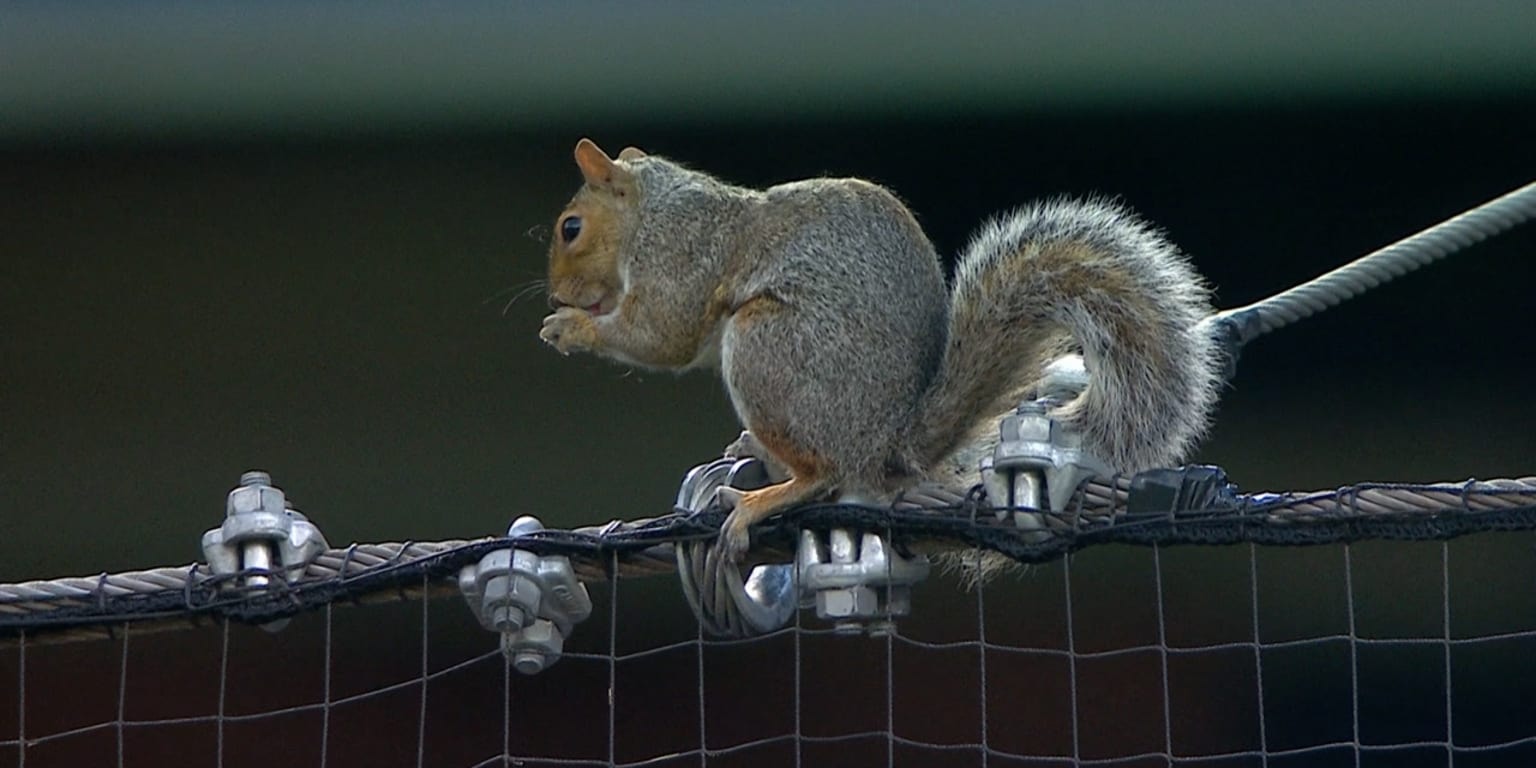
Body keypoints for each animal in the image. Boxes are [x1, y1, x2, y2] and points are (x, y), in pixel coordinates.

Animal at [540, 138, 1220, 563]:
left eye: (571, 228)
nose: (558, 291)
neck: (655, 211)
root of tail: (886, 443)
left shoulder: (679, 257)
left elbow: (662, 332)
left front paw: (571, 327)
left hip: (768, 347)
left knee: (826, 473)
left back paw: (762, 498)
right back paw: (757, 451)